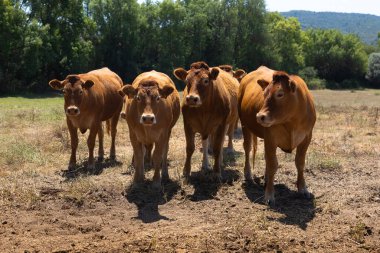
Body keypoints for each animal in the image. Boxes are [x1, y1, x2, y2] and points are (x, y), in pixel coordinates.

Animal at [239, 66, 316, 206]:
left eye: (280, 94)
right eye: (264, 94)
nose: (260, 116)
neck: (292, 121)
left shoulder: (306, 138)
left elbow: (300, 163)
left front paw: (302, 189)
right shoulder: (271, 138)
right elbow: (272, 165)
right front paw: (269, 195)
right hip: (244, 125)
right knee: (247, 148)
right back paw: (248, 174)